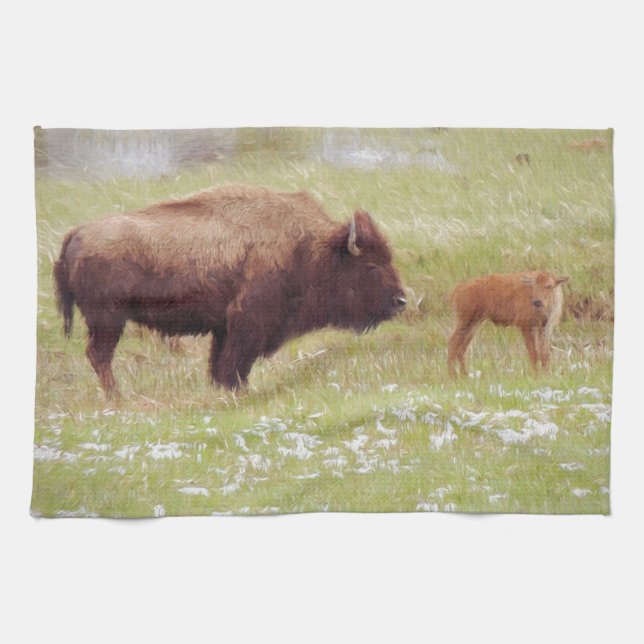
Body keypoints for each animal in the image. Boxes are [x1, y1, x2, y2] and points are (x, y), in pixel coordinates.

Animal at [53, 185, 407, 397]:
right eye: (371, 265)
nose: (401, 300)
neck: (311, 248)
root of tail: (76, 232)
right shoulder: (247, 323)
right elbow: (234, 364)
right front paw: (238, 392)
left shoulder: (224, 328)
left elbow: (220, 363)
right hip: (108, 321)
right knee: (100, 356)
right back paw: (117, 397)